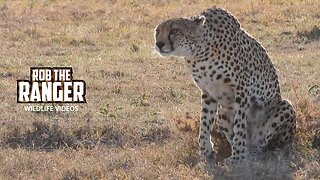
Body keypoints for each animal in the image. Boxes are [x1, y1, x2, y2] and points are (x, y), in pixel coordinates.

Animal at [154, 6, 296, 163]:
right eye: (157, 32)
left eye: (175, 31)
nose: (159, 44)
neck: (198, 53)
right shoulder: (208, 92)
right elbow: (204, 123)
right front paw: (205, 152)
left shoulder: (242, 89)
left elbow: (239, 126)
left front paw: (237, 158)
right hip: (222, 114)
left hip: (284, 106)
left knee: (265, 146)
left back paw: (251, 155)